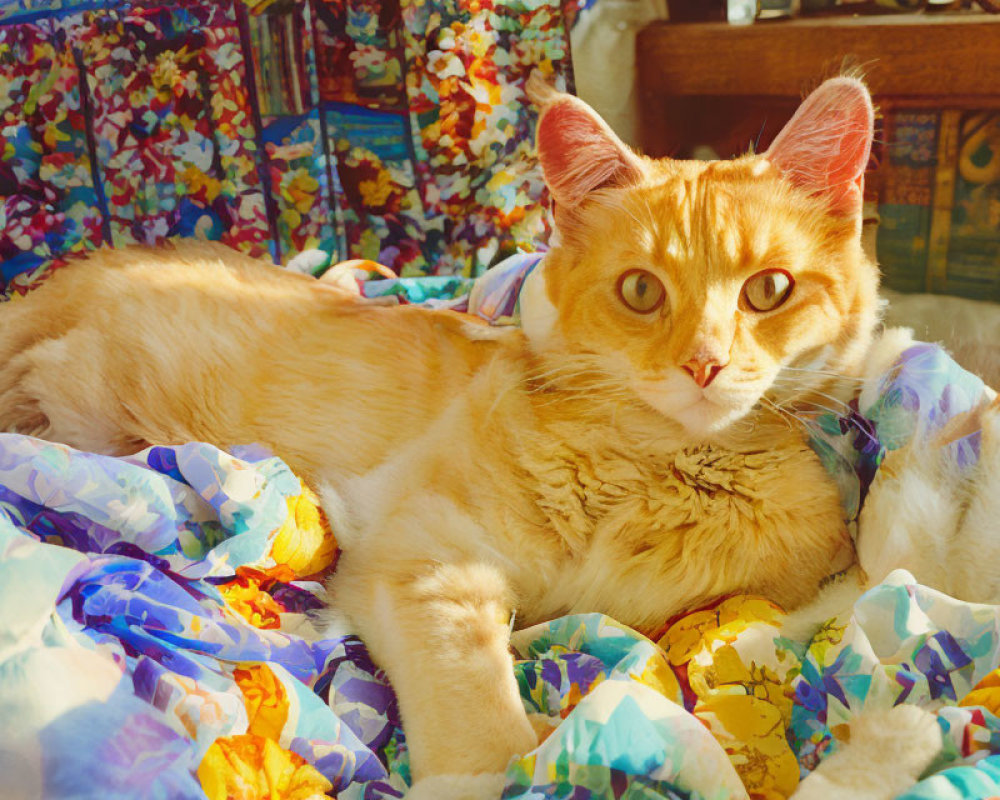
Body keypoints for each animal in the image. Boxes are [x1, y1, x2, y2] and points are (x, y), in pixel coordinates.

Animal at [0, 78, 876, 796]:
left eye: (769, 290)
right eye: (640, 291)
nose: (704, 364)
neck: (655, 471)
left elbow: (817, 596)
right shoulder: (427, 561)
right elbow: (474, 699)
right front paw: (488, 771)